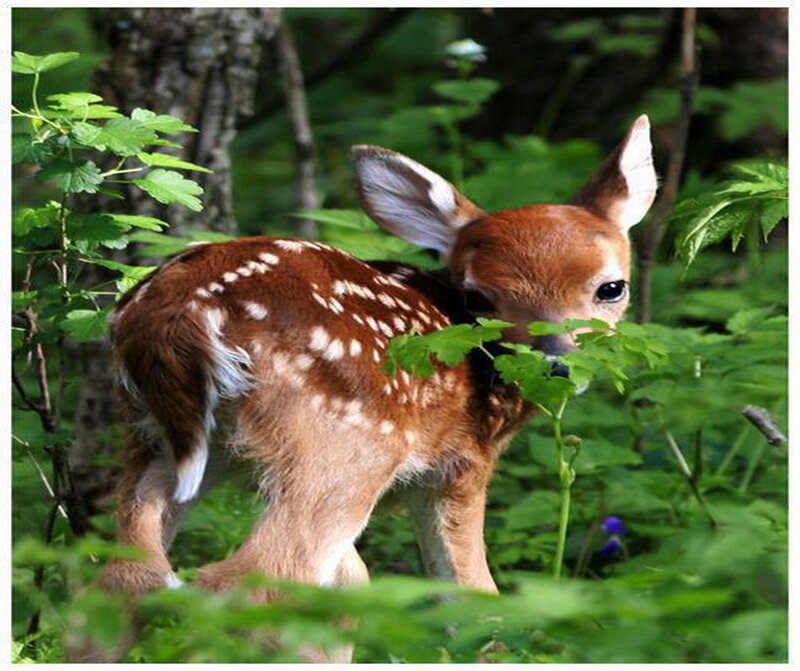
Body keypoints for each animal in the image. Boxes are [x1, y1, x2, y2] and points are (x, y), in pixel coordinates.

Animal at [79, 115, 656, 661]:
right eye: (479, 298)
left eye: (611, 288)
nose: (555, 364)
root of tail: (179, 315)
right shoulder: (460, 463)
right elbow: (474, 600)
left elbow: (355, 586)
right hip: (347, 442)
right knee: (253, 583)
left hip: (164, 438)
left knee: (124, 578)